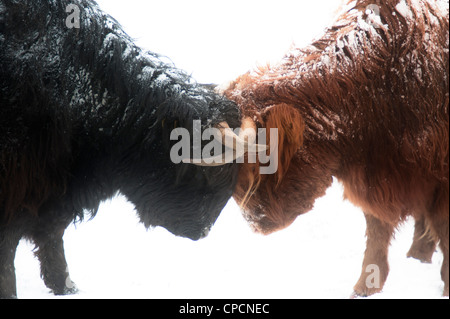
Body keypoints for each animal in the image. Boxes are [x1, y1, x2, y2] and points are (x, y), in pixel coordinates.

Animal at [0, 0, 243, 300]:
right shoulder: (16, 192)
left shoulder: (55, 191)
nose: (202, 231)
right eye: (205, 174)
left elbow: (52, 237)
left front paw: (67, 287)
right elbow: (10, 254)